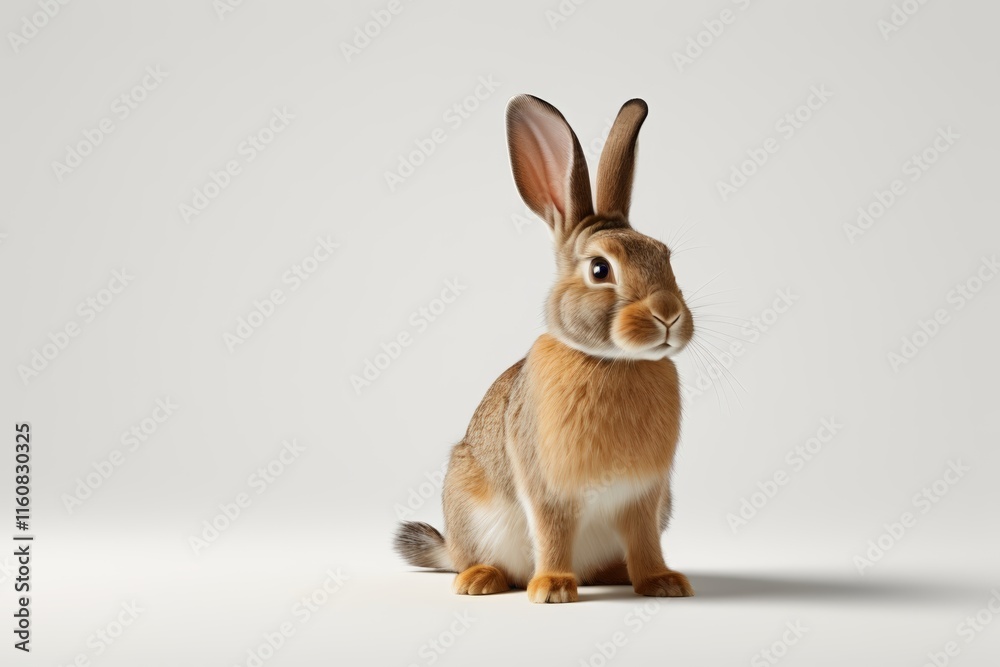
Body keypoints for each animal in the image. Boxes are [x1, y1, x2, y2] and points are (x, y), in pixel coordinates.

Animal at [394, 94, 694, 603]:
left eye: (665, 257)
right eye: (600, 269)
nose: (669, 314)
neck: (612, 361)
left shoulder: (645, 495)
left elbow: (644, 540)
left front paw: (662, 582)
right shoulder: (547, 486)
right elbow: (553, 533)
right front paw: (552, 589)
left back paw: (616, 573)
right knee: (478, 558)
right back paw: (480, 580)